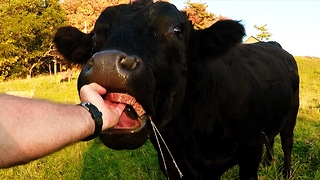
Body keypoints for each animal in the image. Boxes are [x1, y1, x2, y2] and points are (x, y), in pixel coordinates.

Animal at [53, 0, 300, 179]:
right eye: (95, 35)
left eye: (177, 30)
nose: (107, 64)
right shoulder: (172, 166)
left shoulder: (250, 150)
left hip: (292, 112)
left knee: (287, 141)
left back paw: (287, 172)